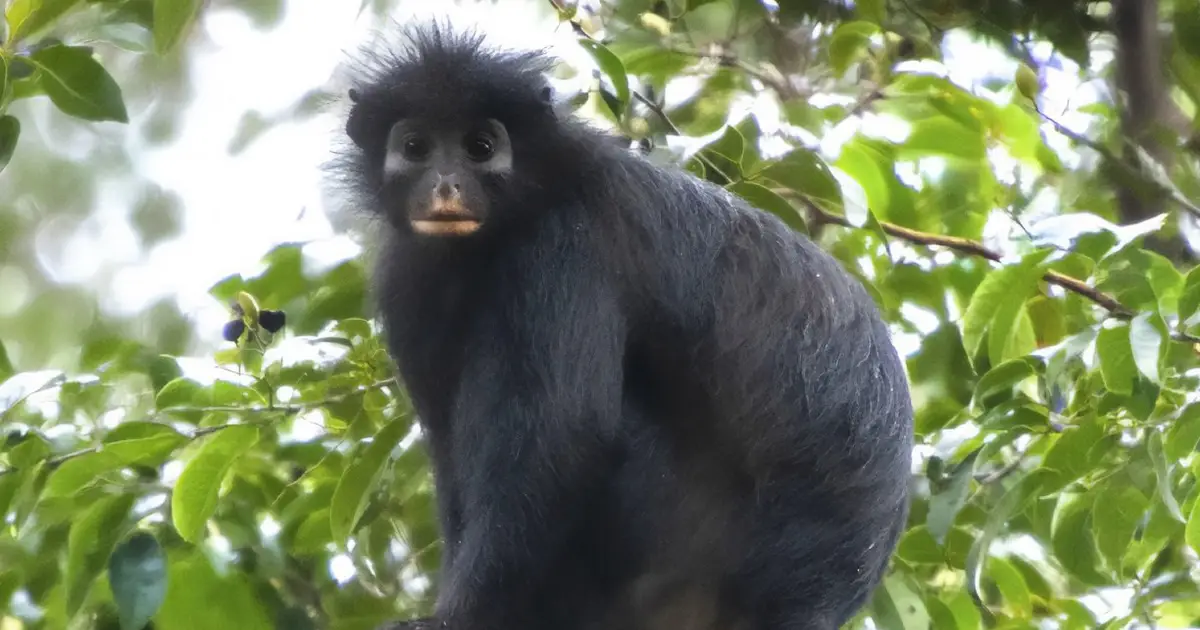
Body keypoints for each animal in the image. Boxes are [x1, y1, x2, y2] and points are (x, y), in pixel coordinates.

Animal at [332, 22, 913, 630]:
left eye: (480, 148)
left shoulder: (565, 243)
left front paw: (459, 614)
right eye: (415, 148)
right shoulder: (408, 281)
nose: (446, 184)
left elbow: (563, 440)